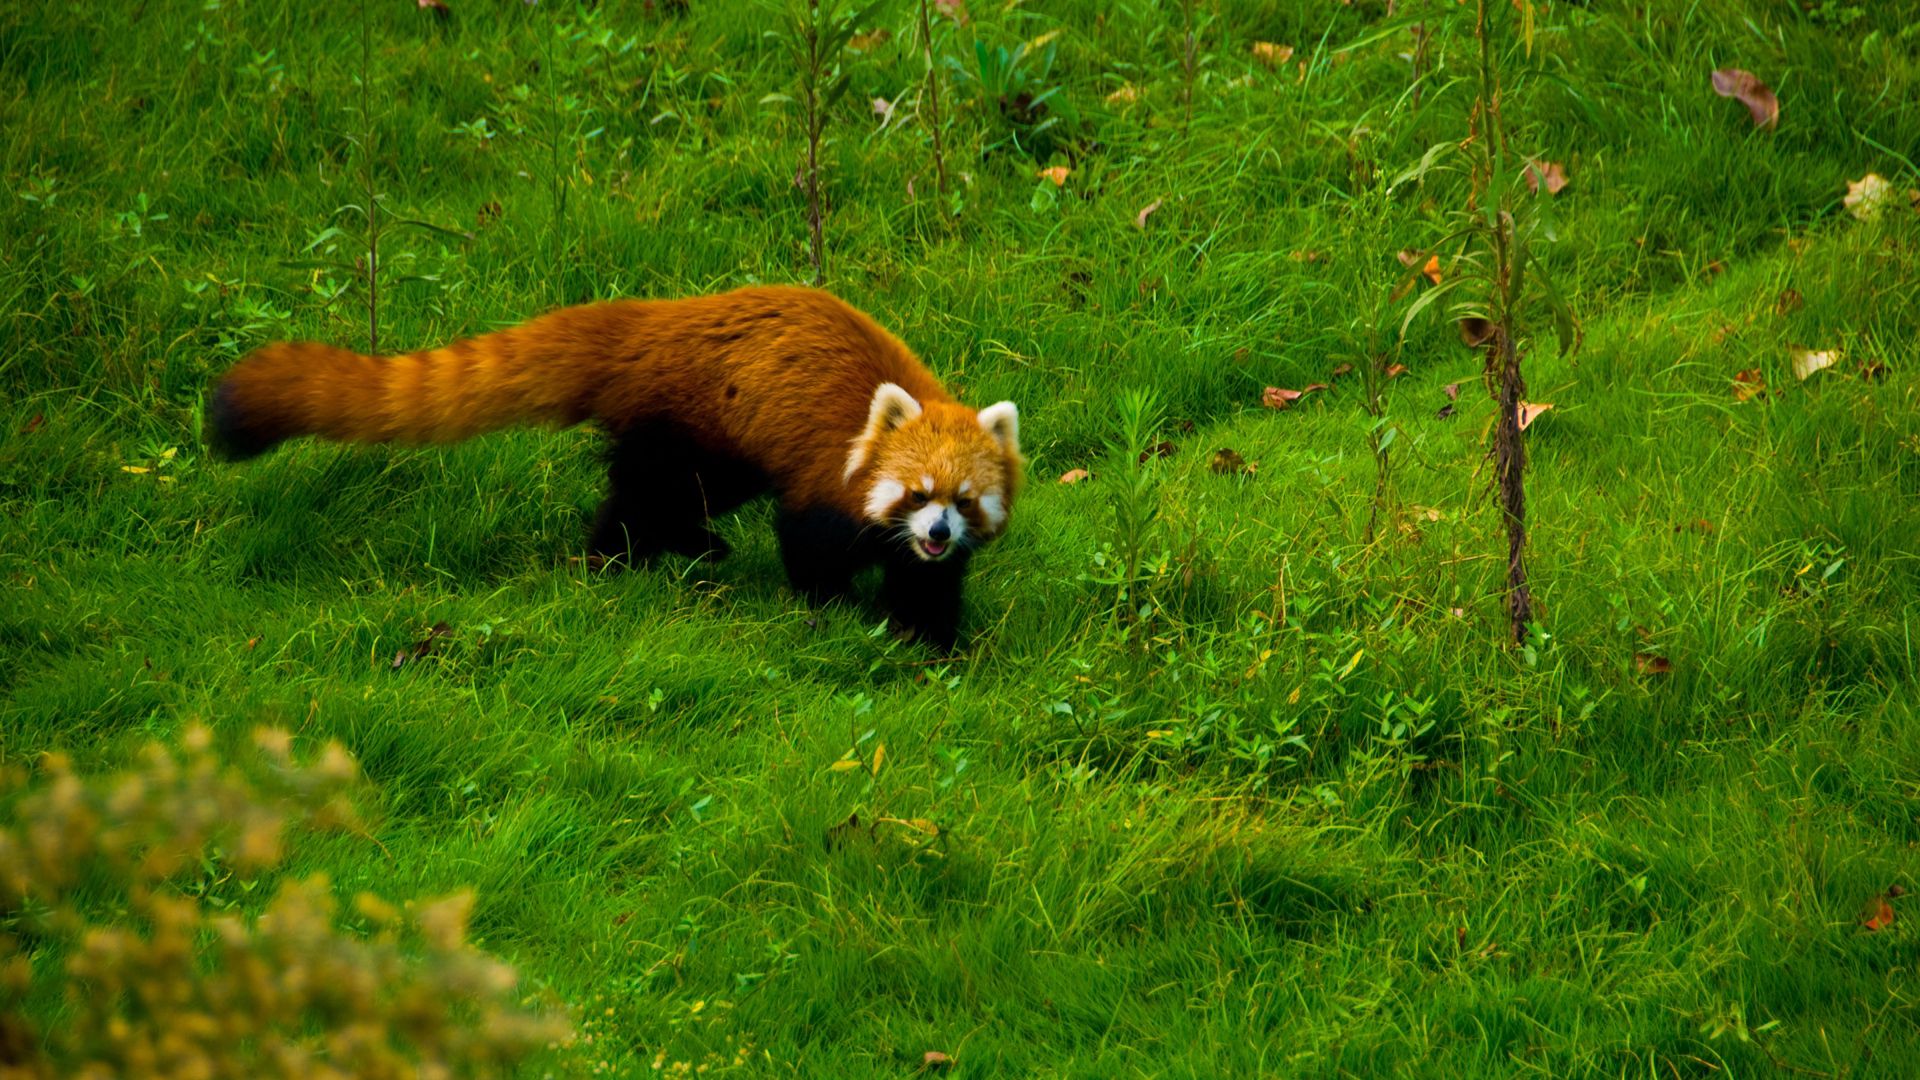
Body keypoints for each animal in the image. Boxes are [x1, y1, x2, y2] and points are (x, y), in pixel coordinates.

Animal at [202, 284, 1029, 645]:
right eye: (916, 493)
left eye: (961, 501)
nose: (936, 534)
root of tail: (649, 322)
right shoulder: (823, 480)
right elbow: (808, 548)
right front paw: (828, 611)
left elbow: (926, 590)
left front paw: (929, 640)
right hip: (695, 425)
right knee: (644, 499)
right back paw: (623, 559)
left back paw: (695, 548)